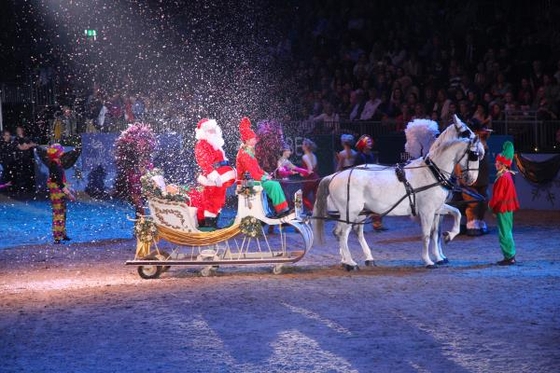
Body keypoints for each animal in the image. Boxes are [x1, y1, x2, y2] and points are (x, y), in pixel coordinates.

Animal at [312, 116, 484, 268]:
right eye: (474, 155)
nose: (472, 179)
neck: (432, 171)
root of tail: (334, 176)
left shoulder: (437, 208)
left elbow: (454, 215)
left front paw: (448, 238)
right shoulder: (427, 211)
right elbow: (427, 235)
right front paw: (429, 261)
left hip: (358, 212)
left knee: (349, 231)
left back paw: (363, 259)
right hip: (351, 212)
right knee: (342, 233)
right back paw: (350, 263)